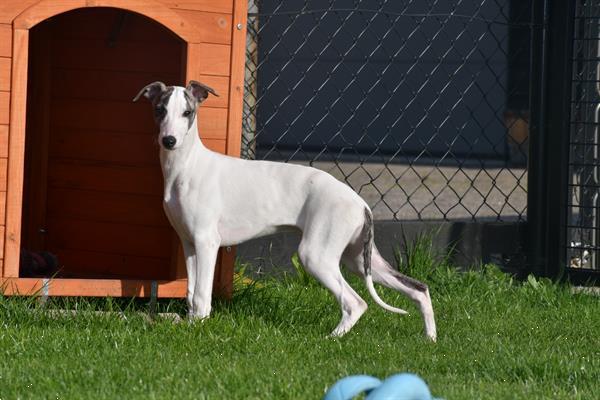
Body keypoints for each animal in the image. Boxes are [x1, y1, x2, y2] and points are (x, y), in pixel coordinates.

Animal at [135, 79, 436, 340]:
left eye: (187, 112)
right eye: (160, 110)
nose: (169, 141)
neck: (187, 165)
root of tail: (360, 203)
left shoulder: (207, 242)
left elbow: (201, 295)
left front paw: (198, 327)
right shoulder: (188, 243)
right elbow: (189, 291)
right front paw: (188, 324)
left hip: (315, 255)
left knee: (356, 302)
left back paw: (331, 338)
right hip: (360, 259)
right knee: (418, 288)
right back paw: (430, 339)